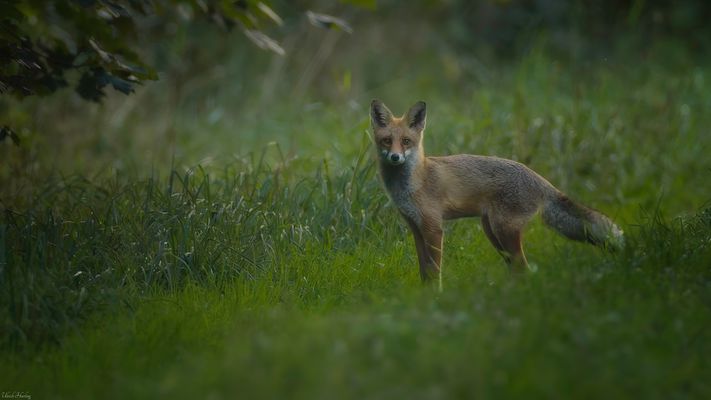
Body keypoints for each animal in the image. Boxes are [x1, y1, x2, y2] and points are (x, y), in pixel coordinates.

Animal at [370, 99, 623, 284]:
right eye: (386, 141)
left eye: (406, 141)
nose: (395, 157)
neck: (413, 183)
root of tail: (539, 179)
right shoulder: (416, 228)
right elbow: (425, 272)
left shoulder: (433, 228)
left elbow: (434, 271)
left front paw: (435, 297)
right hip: (492, 231)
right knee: (516, 268)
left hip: (503, 229)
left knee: (523, 268)